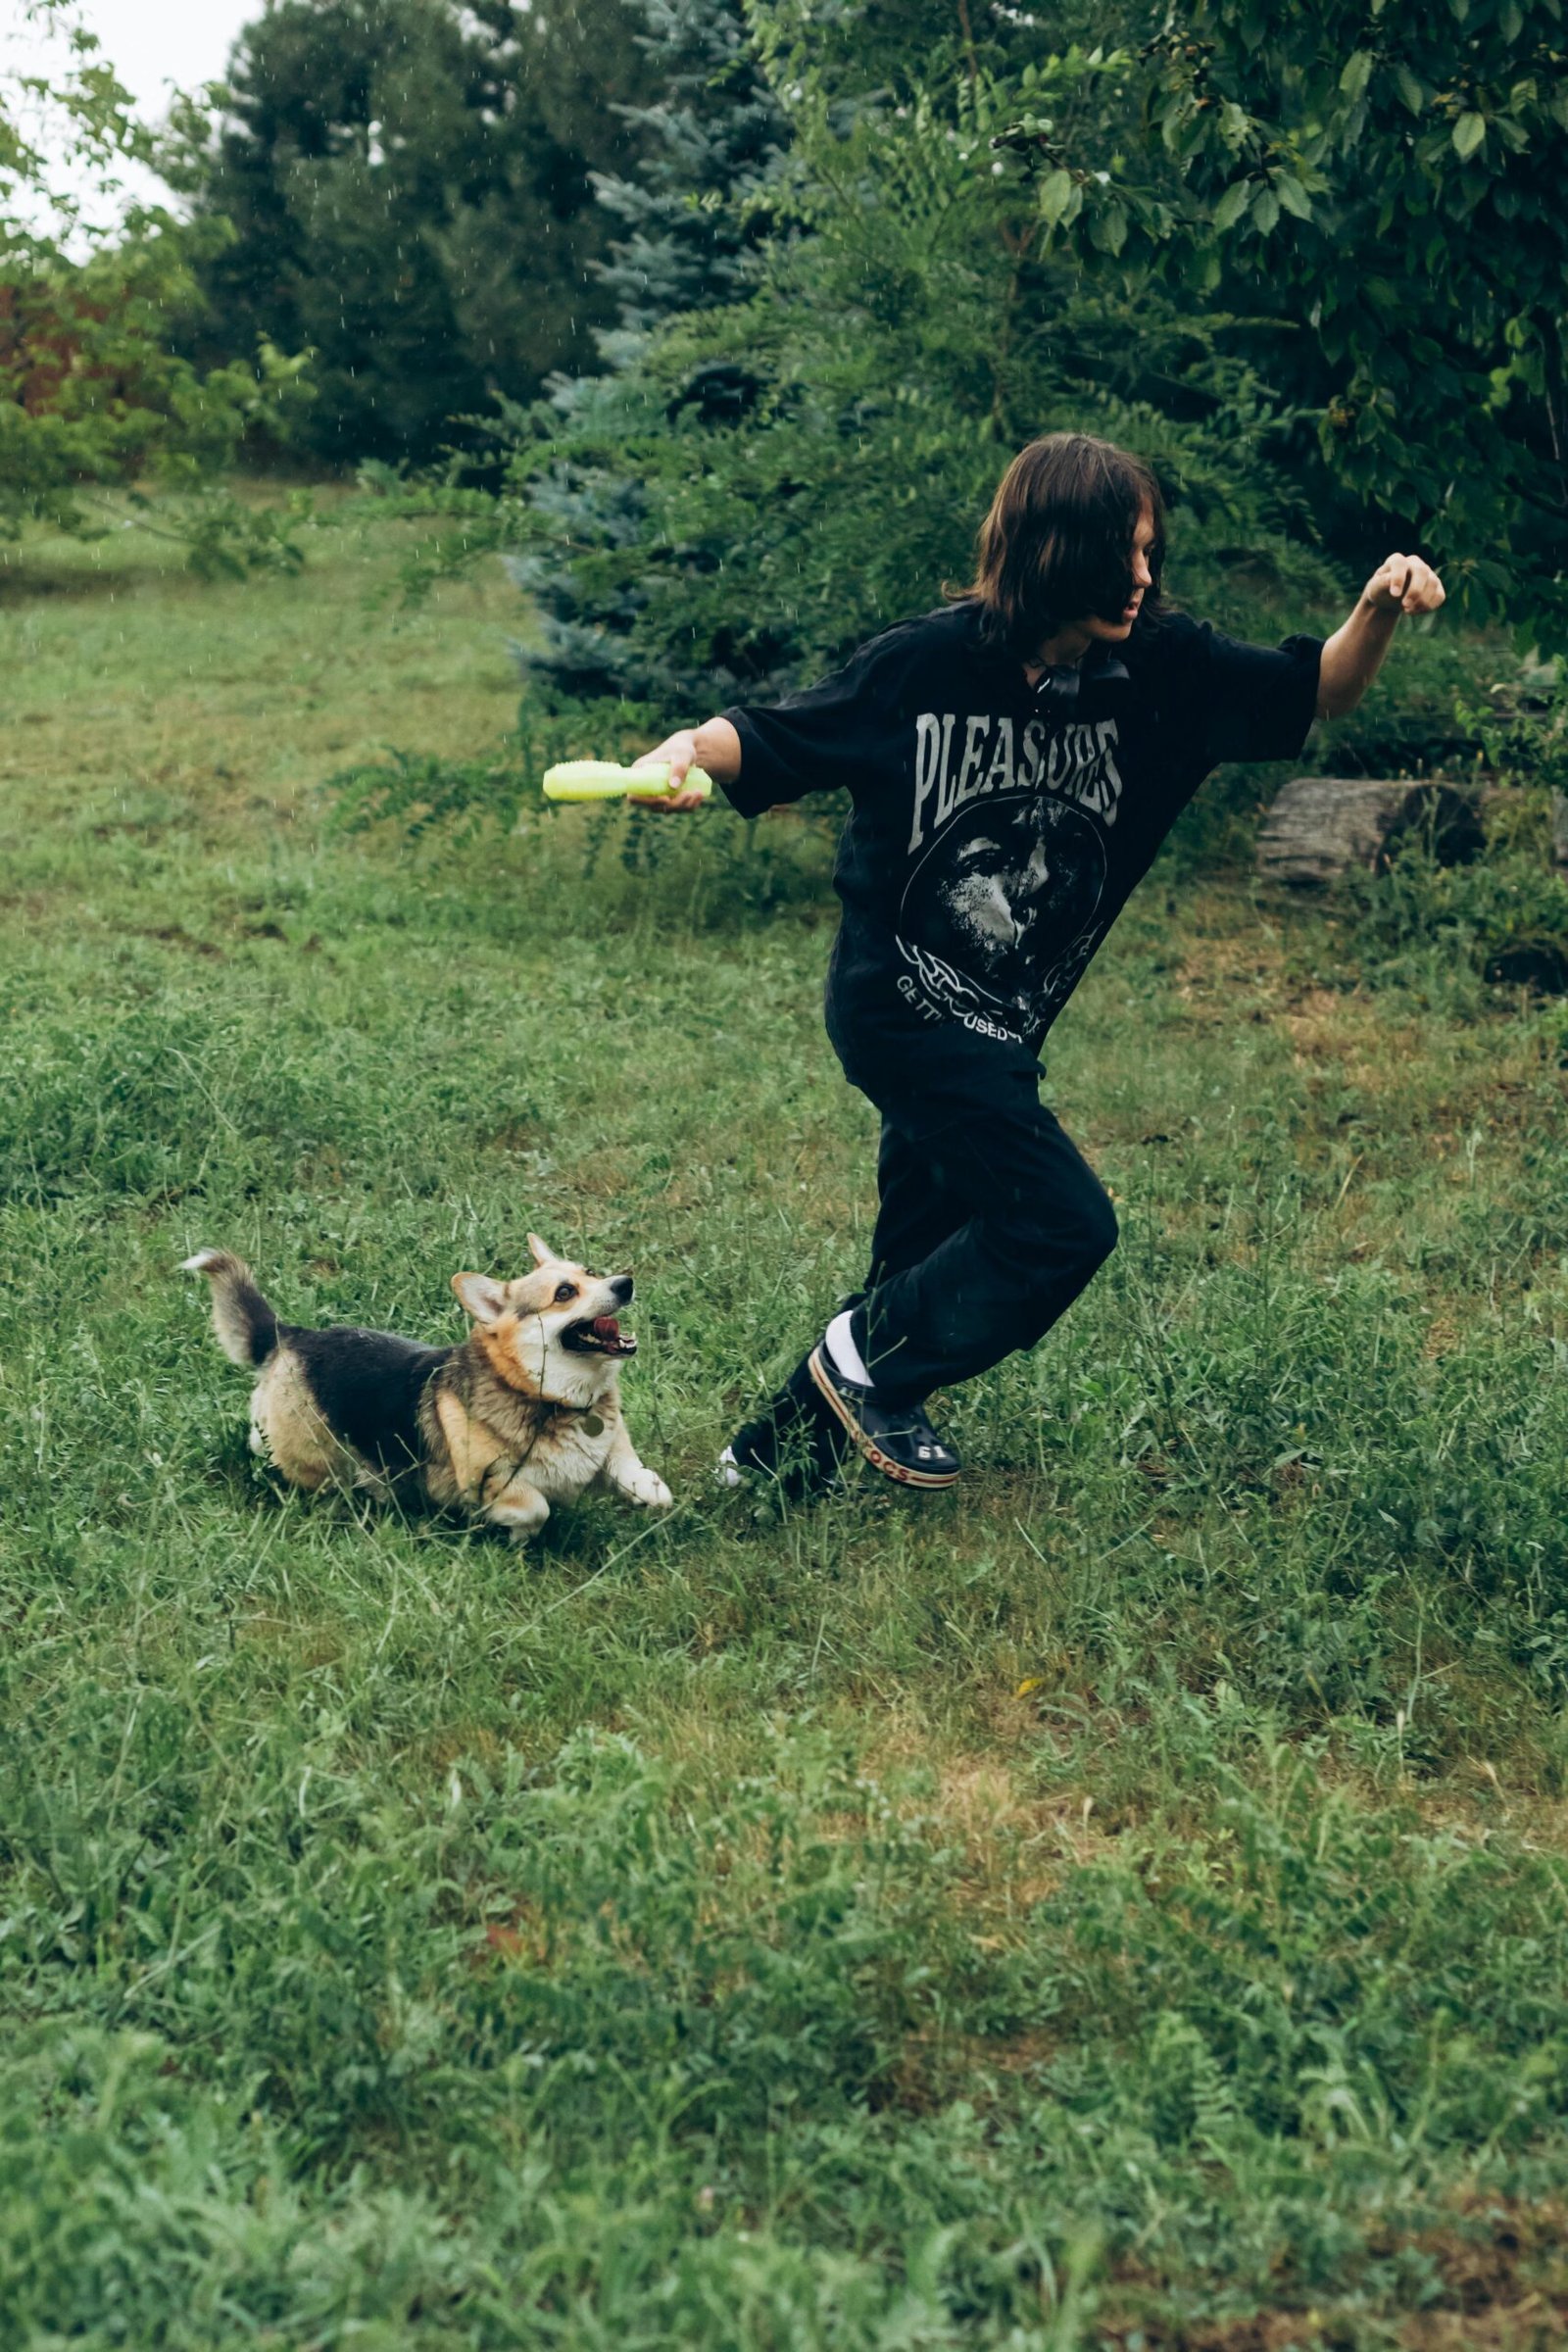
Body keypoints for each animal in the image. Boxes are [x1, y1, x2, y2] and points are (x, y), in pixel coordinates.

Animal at [185, 1232, 676, 1543]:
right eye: (564, 1293)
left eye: (591, 1272)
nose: (625, 1282)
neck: (552, 1398)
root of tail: (290, 1335)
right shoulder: (488, 1482)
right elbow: (535, 1505)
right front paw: (515, 1531)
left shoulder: (610, 1451)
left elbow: (641, 1476)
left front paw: (649, 1492)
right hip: (314, 1465)